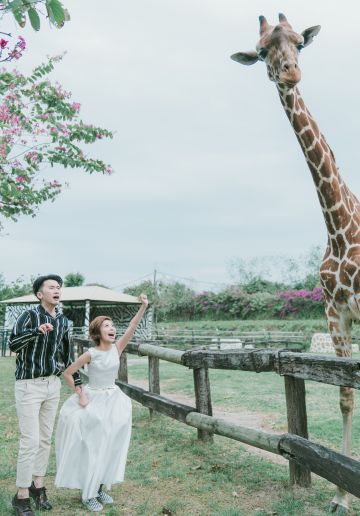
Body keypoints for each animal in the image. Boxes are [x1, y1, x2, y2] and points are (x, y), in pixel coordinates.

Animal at [232, 14, 358, 512]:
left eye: (300, 43)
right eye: (263, 50)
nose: (290, 72)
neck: (338, 224)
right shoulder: (335, 311)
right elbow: (345, 394)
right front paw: (341, 494)